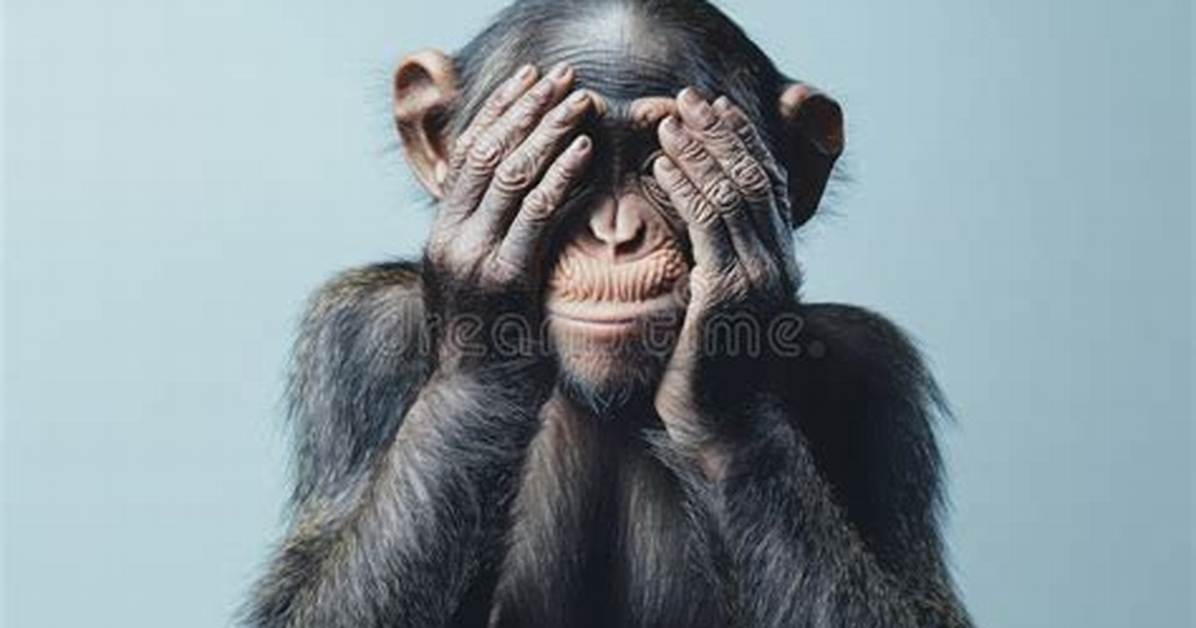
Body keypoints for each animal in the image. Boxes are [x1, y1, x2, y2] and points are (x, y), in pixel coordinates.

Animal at [243, 1, 973, 626]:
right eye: (577, 151)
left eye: (658, 159)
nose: (617, 235)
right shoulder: (357, 335)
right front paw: (487, 329)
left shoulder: (877, 370)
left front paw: (723, 367)